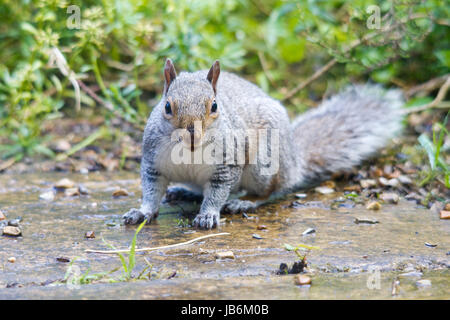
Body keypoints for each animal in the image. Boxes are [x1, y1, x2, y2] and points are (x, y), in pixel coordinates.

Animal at [122, 58, 404, 229]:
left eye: (214, 106)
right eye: (167, 107)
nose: (192, 136)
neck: (188, 153)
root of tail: (294, 162)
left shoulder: (227, 163)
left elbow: (217, 191)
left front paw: (208, 214)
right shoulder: (153, 162)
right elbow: (151, 191)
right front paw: (142, 212)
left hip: (264, 162)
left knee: (270, 190)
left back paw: (244, 201)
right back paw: (187, 191)